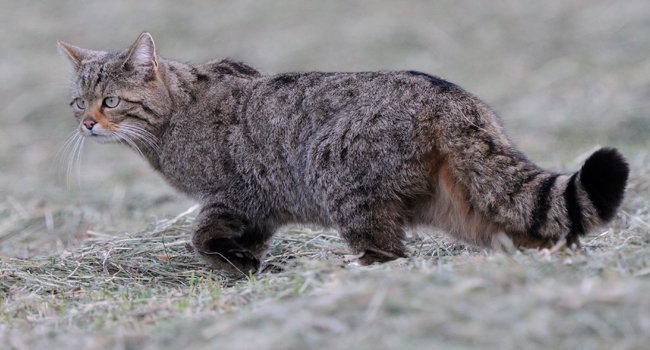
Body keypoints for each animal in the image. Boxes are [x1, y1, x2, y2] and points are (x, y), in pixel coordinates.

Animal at [59, 32, 628, 274]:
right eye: (77, 101)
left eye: (110, 101)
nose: (87, 123)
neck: (174, 116)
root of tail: (453, 100)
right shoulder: (259, 203)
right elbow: (230, 238)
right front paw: (246, 262)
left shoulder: (232, 193)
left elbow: (201, 236)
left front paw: (237, 261)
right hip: (465, 204)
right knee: (531, 227)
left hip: (345, 187)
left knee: (390, 251)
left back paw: (355, 269)